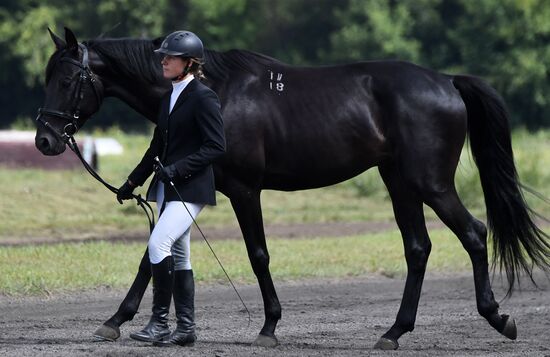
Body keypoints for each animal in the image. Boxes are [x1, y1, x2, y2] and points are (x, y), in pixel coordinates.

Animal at [36, 27, 548, 348]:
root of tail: (447, 82)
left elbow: (258, 255)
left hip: (430, 183)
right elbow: (151, 256)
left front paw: (269, 326)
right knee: (418, 248)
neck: (216, 91)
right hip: (400, 182)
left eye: (68, 78)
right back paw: (393, 332)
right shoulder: (180, 186)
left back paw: (498, 317)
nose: (44, 140)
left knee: (473, 233)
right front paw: (115, 321)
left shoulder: (244, 190)